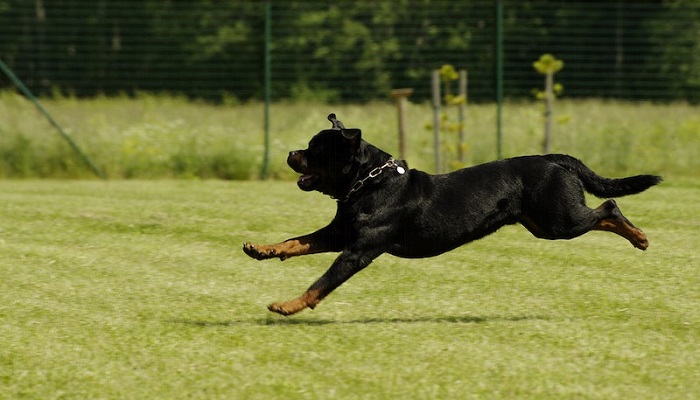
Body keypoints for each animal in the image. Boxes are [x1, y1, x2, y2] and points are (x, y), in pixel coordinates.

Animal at [243, 113, 660, 316]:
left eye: (315, 150)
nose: (290, 154)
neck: (368, 183)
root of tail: (552, 158)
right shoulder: (338, 235)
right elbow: (296, 241)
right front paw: (262, 249)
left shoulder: (356, 251)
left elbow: (321, 283)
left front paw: (287, 306)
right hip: (544, 224)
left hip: (560, 221)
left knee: (608, 208)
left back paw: (639, 237)